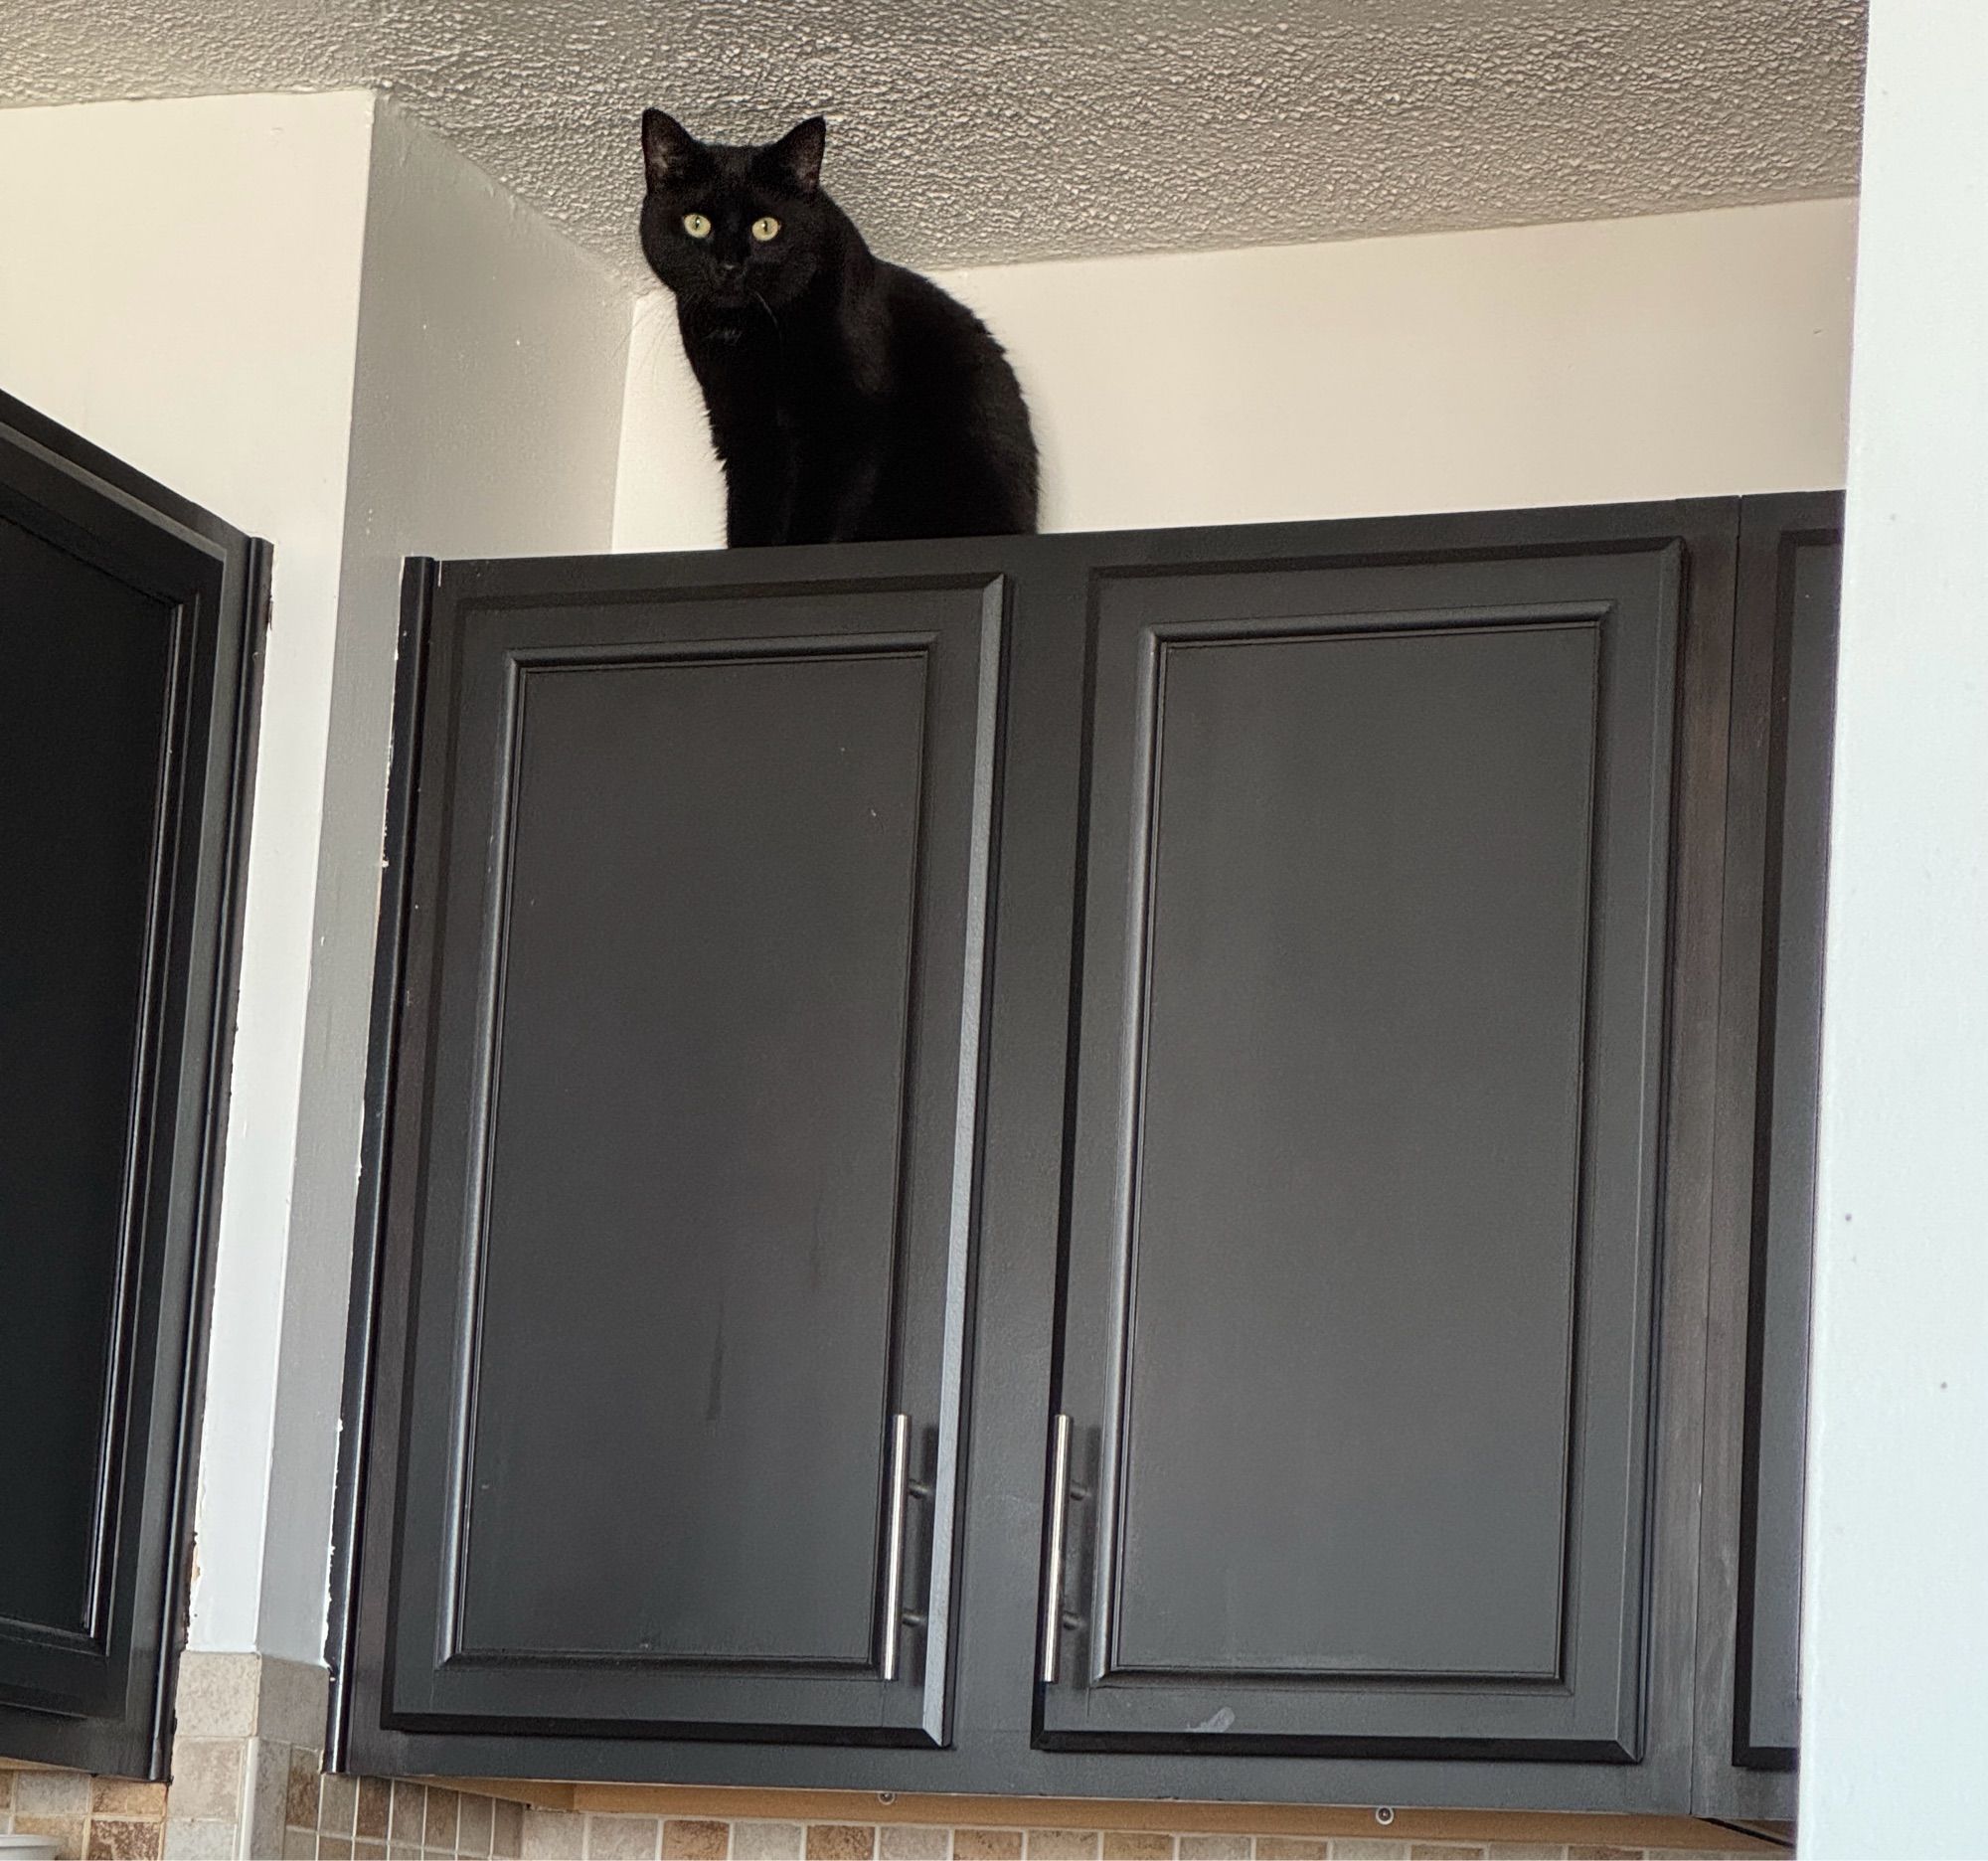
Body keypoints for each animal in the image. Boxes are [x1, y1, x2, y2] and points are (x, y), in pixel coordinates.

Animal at [636, 109, 1042, 549]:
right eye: (697, 224)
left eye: (766, 227)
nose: (729, 266)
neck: (755, 331)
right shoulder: (745, 430)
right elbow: (751, 511)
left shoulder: (850, 422)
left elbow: (821, 509)